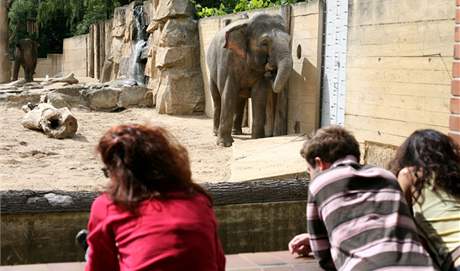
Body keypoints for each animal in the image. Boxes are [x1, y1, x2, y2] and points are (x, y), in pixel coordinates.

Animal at [207, 13, 292, 147]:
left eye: (289, 40)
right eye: (264, 43)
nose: (271, 70)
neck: (246, 25)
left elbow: (259, 95)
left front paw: (257, 139)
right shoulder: (226, 61)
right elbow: (228, 93)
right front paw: (224, 144)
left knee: (239, 100)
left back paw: (237, 132)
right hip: (212, 72)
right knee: (217, 99)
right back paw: (216, 133)